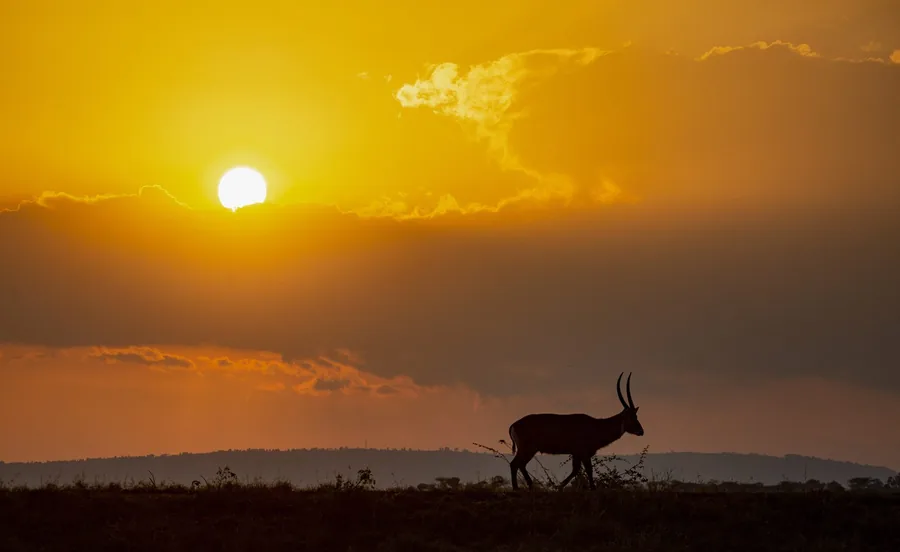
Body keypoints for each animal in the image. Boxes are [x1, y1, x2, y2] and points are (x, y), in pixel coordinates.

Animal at [508, 372, 644, 491]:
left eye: (636, 415)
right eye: (632, 417)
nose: (641, 431)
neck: (597, 426)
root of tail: (514, 424)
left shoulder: (576, 453)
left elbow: (575, 470)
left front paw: (559, 487)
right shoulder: (583, 453)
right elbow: (588, 469)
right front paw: (592, 489)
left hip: (529, 450)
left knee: (520, 464)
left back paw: (529, 486)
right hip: (528, 449)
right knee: (515, 464)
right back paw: (517, 488)